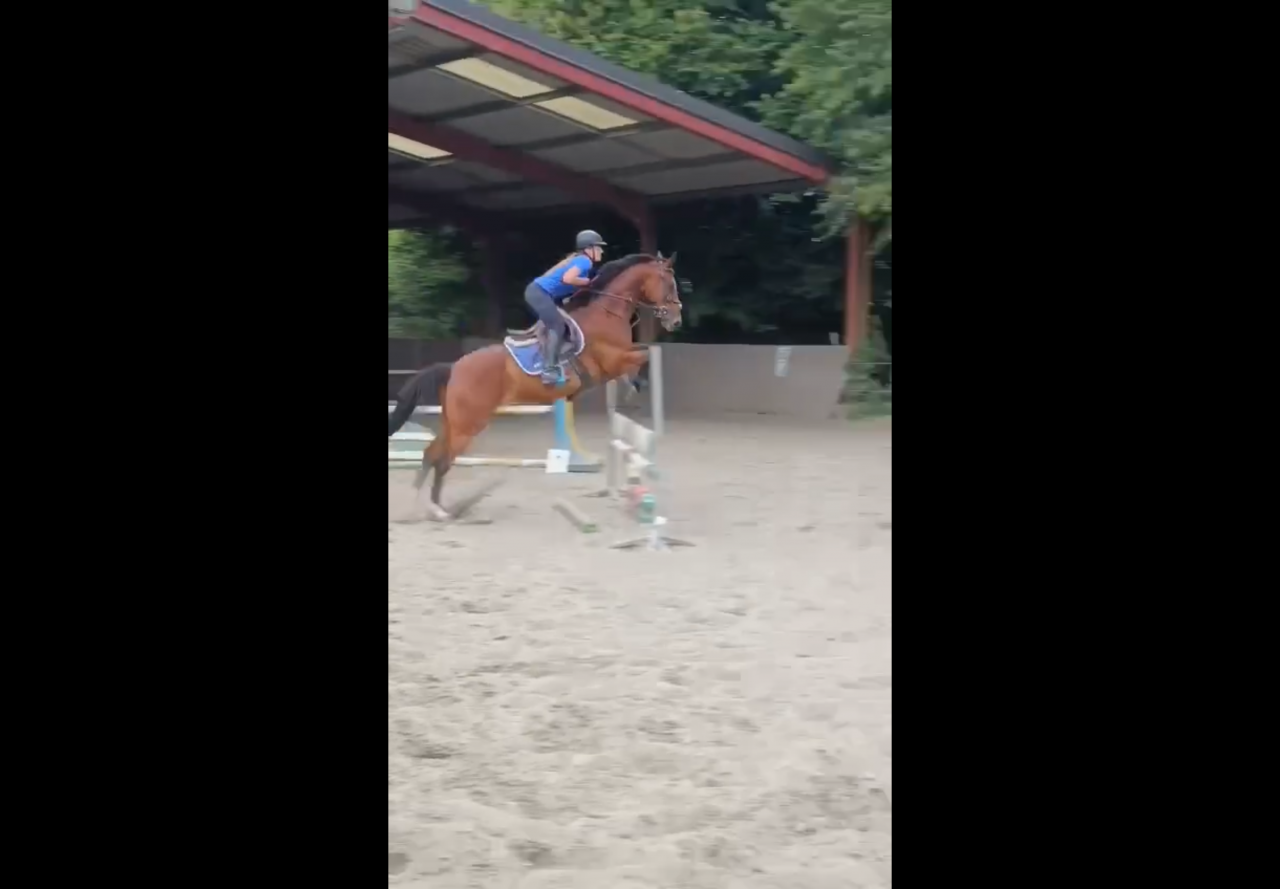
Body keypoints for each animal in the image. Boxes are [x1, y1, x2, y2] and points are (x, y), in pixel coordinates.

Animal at [389, 251, 683, 521]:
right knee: (443, 460)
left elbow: (642, 353)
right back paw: (439, 510)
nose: (676, 319)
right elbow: (642, 355)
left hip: (454, 423)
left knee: (431, 454)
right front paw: (635, 383)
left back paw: (424, 507)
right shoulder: (612, 360)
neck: (608, 313)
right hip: (468, 425)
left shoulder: (618, 358)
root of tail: (454, 368)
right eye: (669, 283)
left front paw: (632, 384)